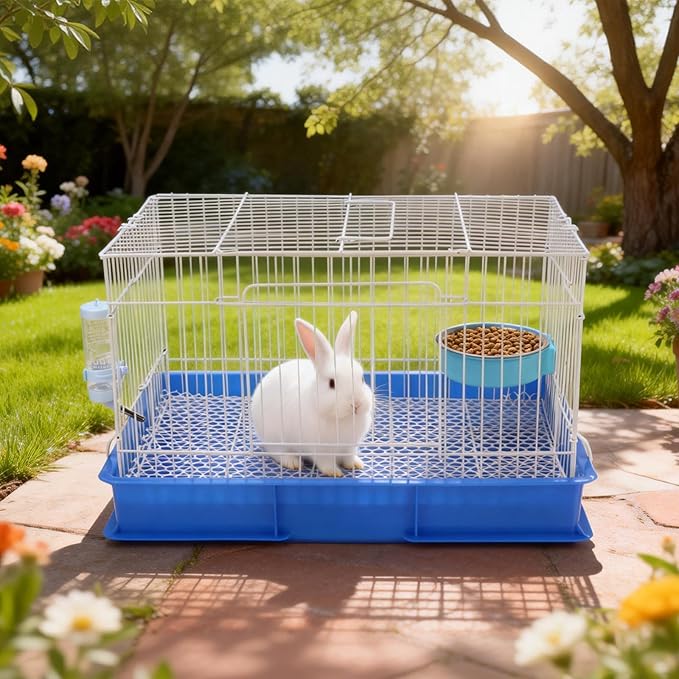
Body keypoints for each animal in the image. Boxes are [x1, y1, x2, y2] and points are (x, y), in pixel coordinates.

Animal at [250, 310, 374, 477]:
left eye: (362, 379)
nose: (356, 404)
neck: (341, 419)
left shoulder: (349, 447)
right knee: (275, 451)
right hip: (273, 437)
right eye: (331, 383)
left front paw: (356, 464)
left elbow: (349, 457)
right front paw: (334, 473)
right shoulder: (320, 450)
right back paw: (292, 462)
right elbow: (325, 463)